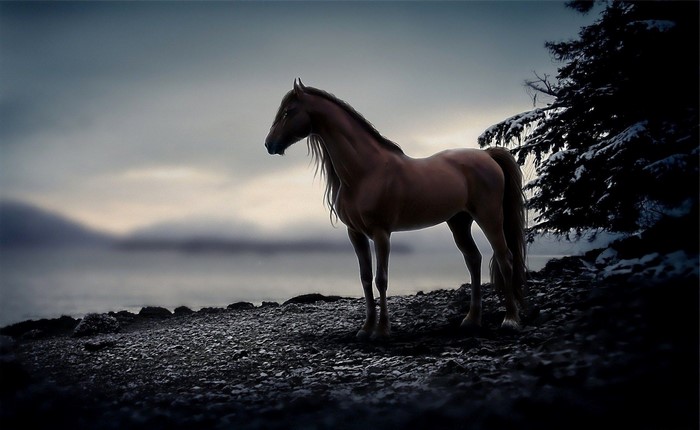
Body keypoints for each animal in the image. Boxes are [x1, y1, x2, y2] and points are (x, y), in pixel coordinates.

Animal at [264, 79, 527, 339]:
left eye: (288, 111)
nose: (269, 144)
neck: (366, 171)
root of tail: (487, 156)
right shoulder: (355, 234)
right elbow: (365, 278)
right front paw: (366, 328)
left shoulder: (381, 233)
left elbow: (381, 279)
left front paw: (381, 330)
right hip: (459, 222)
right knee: (473, 259)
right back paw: (471, 320)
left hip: (489, 217)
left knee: (505, 258)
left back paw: (510, 320)